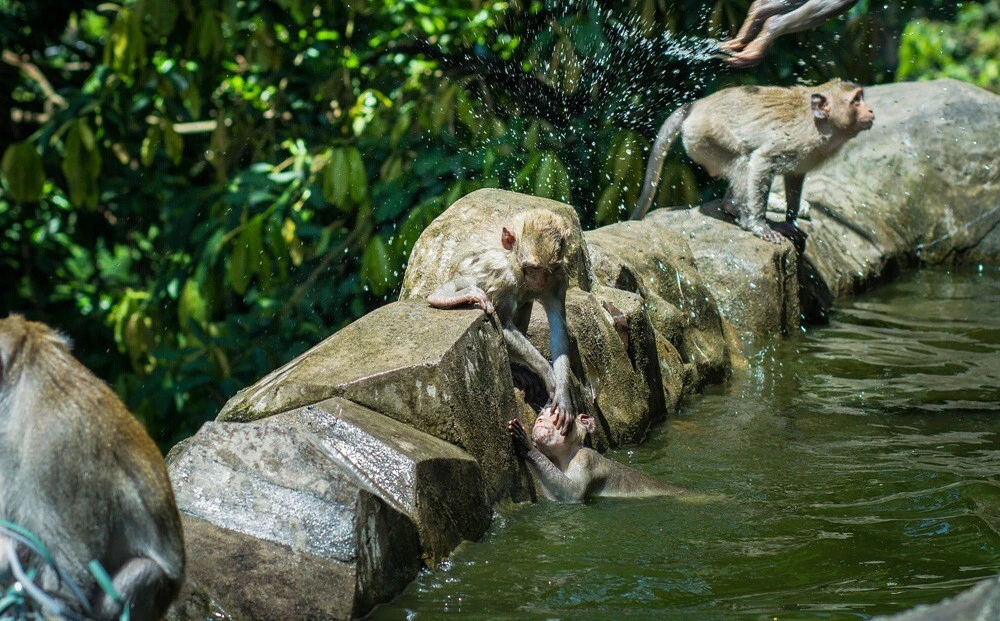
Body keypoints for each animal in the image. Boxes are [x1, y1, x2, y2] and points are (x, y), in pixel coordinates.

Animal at [427, 209, 579, 433]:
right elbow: (503, 325)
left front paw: (563, 394)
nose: (538, 281)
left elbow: (559, 329)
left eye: (547, 269)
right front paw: (548, 373)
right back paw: (443, 296)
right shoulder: (502, 276)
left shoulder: (557, 277)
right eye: (532, 268)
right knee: (470, 281)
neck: (512, 260)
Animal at [507, 407, 693, 503]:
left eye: (553, 413)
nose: (540, 419)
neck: (563, 458)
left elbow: (574, 493)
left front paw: (527, 446)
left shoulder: (585, 459)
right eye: (540, 414)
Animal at [630, 79, 874, 244]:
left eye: (861, 97)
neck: (820, 124)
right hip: (704, 136)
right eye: (856, 101)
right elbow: (761, 161)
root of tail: (696, 105)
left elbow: (794, 177)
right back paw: (737, 210)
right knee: (742, 161)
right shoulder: (794, 140)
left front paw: (790, 221)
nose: (871, 110)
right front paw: (759, 225)